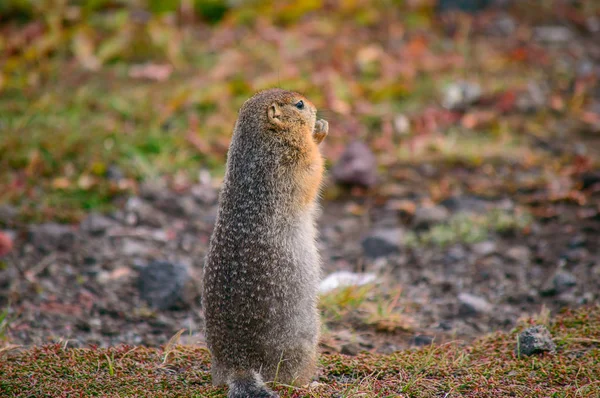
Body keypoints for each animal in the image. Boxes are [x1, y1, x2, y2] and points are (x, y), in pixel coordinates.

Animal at [204, 88, 330, 396]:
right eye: (299, 104)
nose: (315, 107)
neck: (262, 139)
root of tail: (239, 365)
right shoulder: (292, 158)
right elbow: (314, 168)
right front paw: (319, 131)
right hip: (304, 340)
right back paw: (313, 382)